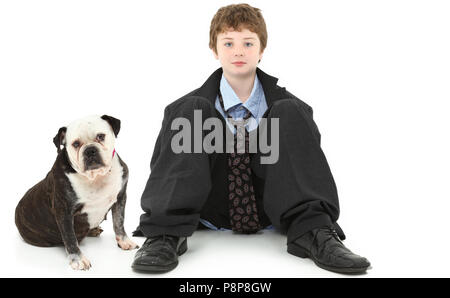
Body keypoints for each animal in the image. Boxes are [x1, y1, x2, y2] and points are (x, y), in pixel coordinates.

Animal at [14, 114, 138, 270]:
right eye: (76, 144)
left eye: (101, 136)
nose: (90, 150)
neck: (95, 177)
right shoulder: (64, 211)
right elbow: (70, 237)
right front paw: (77, 259)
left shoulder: (120, 198)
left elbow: (119, 222)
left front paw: (124, 241)